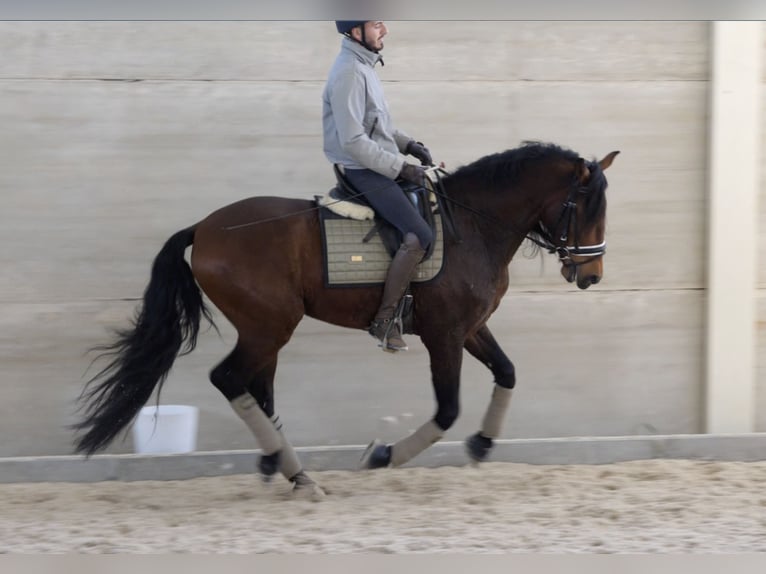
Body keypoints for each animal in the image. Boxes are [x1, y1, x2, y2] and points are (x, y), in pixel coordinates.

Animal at [75, 141, 620, 500]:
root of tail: (205, 229)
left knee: (258, 388)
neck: (474, 225)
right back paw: (295, 473)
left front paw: (483, 445)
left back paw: (286, 468)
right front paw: (383, 456)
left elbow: (507, 372)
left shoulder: (470, 329)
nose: (591, 274)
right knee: (229, 378)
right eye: (584, 208)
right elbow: (447, 410)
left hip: (266, 330)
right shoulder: (444, 336)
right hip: (268, 327)